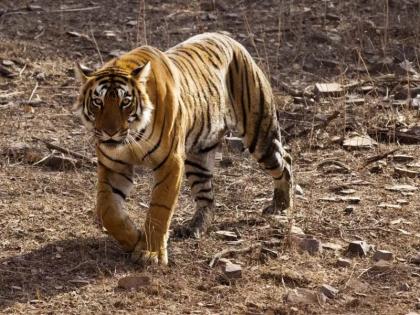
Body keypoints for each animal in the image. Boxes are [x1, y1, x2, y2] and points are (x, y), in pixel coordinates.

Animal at [74, 32, 294, 266]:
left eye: (125, 102)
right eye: (98, 102)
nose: (110, 132)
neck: (132, 138)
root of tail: (228, 38)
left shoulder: (170, 162)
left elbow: (159, 209)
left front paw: (151, 253)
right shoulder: (114, 164)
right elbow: (108, 211)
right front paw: (134, 239)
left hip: (260, 134)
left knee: (284, 159)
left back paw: (281, 204)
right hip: (199, 156)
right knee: (207, 197)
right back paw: (195, 227)